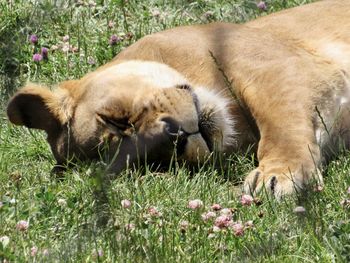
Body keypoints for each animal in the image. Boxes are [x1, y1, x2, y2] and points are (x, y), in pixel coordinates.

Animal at [6, 0, 350, 198]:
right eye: (150, 161)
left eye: (115, 119)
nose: (176, 137)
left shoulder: (281, 66)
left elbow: (281, 126)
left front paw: (278, 175)